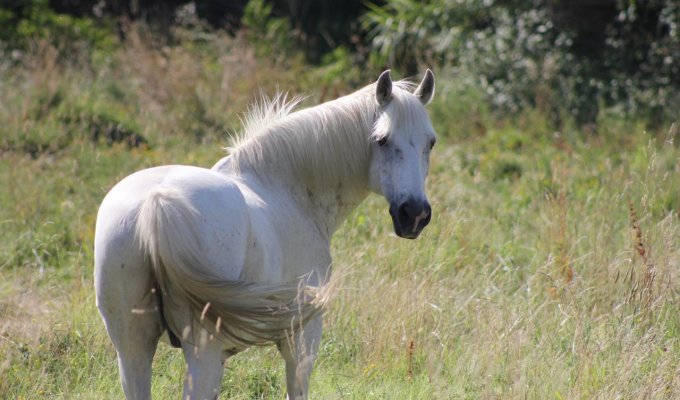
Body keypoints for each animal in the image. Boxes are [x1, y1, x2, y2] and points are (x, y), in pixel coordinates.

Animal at [94, 69, 436, 400]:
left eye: (430, 143)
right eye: (381, 140)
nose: (415, 214)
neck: (286, 187)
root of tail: (158, 202)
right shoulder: (302, 341)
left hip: (133, 350)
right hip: (203, 352)